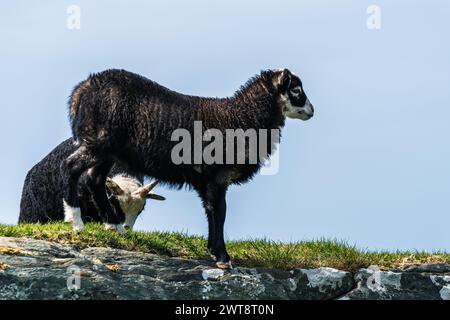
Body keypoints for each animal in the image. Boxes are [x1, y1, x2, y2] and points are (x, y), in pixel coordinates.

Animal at [63, 69, 314, 268]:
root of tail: (82, 89)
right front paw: (223, 258)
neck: (244, 117)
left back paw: (114, 226)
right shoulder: (218, 175)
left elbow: (211, 212)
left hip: (109, 148)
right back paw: (76, 221)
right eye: (296, 90)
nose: (312, 111)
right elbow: (220, 212)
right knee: (71, 166)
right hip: (100, 140)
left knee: (94, 179)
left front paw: (213, 251)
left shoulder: (206, 180)